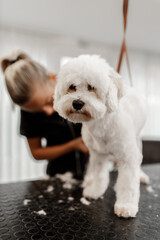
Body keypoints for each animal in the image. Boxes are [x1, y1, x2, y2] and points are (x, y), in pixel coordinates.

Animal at [53, 54, 149, 218]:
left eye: (91, 87)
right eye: (72, 86)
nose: (77, 103)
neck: (102, 125)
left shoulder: (128, 158)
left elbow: (128, 184)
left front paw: (126, 206)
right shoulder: (98, 155)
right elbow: (99, 175)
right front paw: (95, 191)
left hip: (137, 142)